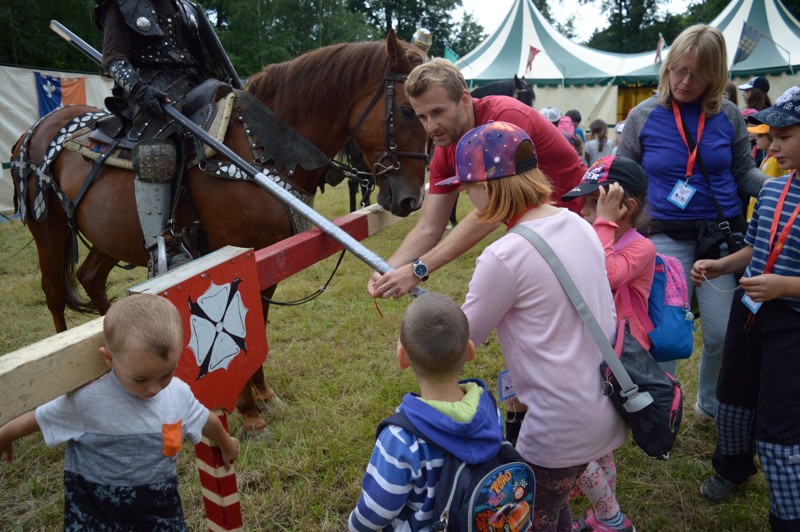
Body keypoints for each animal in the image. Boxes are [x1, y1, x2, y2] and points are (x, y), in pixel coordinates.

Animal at [9, 30, 428, 432]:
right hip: (50, 231)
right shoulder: (233, 251)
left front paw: (264, 394)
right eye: (407, 110)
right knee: (54, 294)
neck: (259, 151)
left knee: (91, 278)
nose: (411, 199)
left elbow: (258, 320)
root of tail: (33, 131)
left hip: (109, 236)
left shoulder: (268, 257)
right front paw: (248, 411)